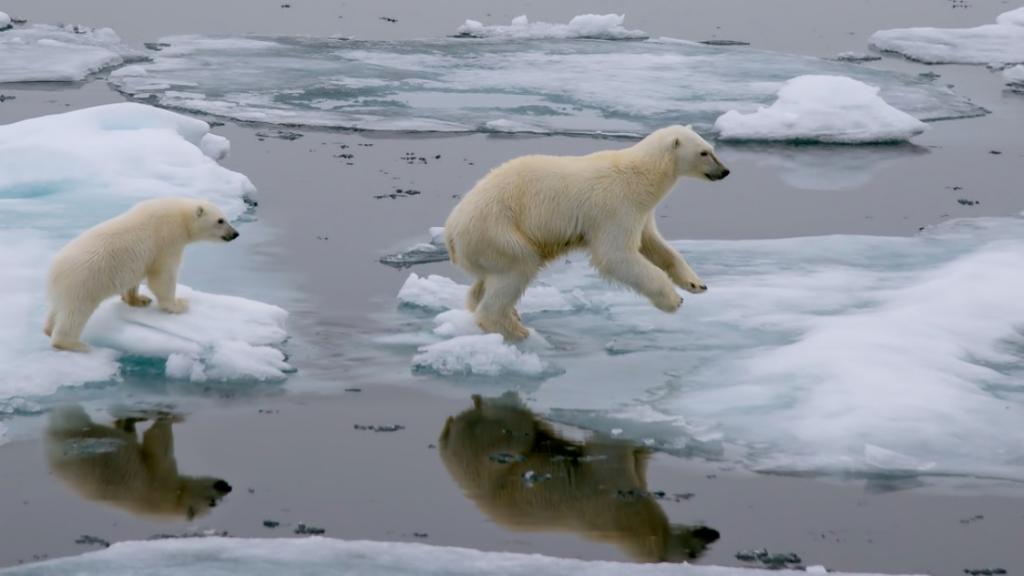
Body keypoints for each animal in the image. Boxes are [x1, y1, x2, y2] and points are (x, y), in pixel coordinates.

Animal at [44, 197, 239, 352]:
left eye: (225, 217)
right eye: (220, 220)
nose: (235, 234)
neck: (179, 215)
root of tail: (53, 271)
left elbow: (135, 278)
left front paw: (139, 300)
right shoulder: (167, 239)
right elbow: (163, 275)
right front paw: (178, 304)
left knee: (58, 308)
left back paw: (48, 328)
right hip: (83, 282)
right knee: (75, 313)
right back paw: (74, 344)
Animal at [46, 405, 232, 520]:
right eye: (212, 502)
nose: (227, 486)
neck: (173, 503)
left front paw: (130, 421)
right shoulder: (161, 484)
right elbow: (158, 442)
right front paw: (170, 416)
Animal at [439, 393, 720, 563]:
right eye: (693, 554)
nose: (713, 534)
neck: (629, 523)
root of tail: (446, 440)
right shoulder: (609, 486)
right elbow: (611, 449)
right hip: (487, 450)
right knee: (514, 427)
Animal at [444, 125, 730, 341]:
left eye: (712, 149)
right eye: (704, 152)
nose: (725, 171)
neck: (640, 176)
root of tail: (451, 233)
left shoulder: (641, 212)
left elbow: (654, 245)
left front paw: (696, 283)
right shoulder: (615, 207)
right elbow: (616, 255)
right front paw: (673, 300)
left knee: (485, 282)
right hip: (499, 231)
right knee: (518, 268)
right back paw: (517, 330)